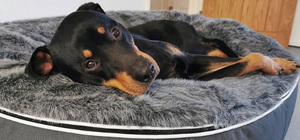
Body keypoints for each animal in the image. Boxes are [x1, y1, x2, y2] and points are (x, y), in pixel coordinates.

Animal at [24, 3, 298, 95]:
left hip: (195, 46)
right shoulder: (191, 74)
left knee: (220, 48)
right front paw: (276, 64)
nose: (149, 72)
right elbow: (249, 58)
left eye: (115, 32)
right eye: (90, 64)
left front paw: (280, 63)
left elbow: (249, 56)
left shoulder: (188, 59)